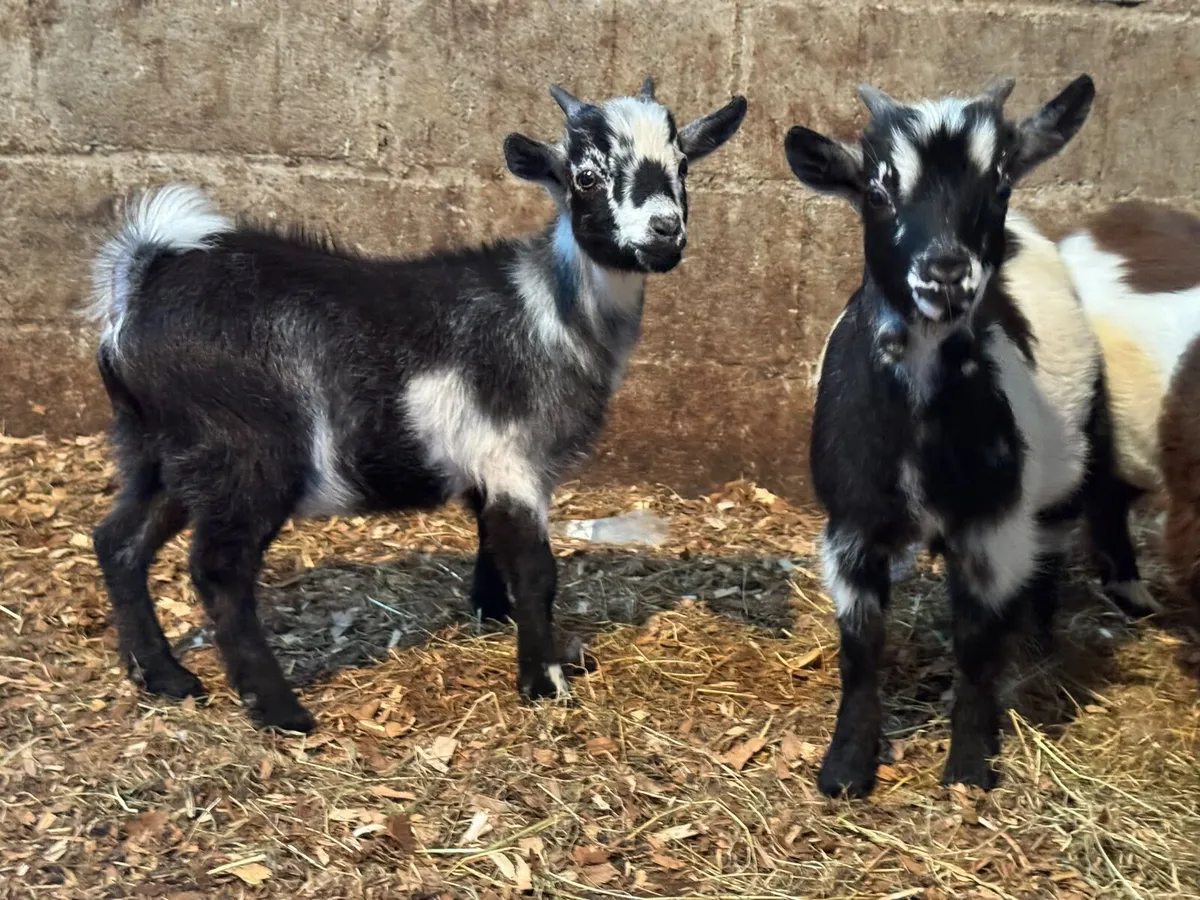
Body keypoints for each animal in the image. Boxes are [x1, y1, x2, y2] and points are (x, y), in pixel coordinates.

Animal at [88, 78, 747, 732]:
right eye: (585, 176)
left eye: (683, 166)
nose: (664, 231)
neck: (548, 308)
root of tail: (143, 283)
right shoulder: (513, 458)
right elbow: (536, 569)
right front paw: (543, 681)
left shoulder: (487, 460)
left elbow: (490, 538)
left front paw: (495, 616)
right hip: (244, 452)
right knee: (219, 570)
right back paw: (280, 710)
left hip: (159, 450)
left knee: (118, 542)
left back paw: (165, 677)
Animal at [785, 74, 1104, 797]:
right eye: (877, 190)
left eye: (1000, 181)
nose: (946, 272)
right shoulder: (850, 526)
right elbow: (860, 648)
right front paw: (846, 767)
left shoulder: (991, 524)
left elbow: (977, 644)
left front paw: (969, 763)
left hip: (1062, 481)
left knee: (1048, 560)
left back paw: (1040, 648)